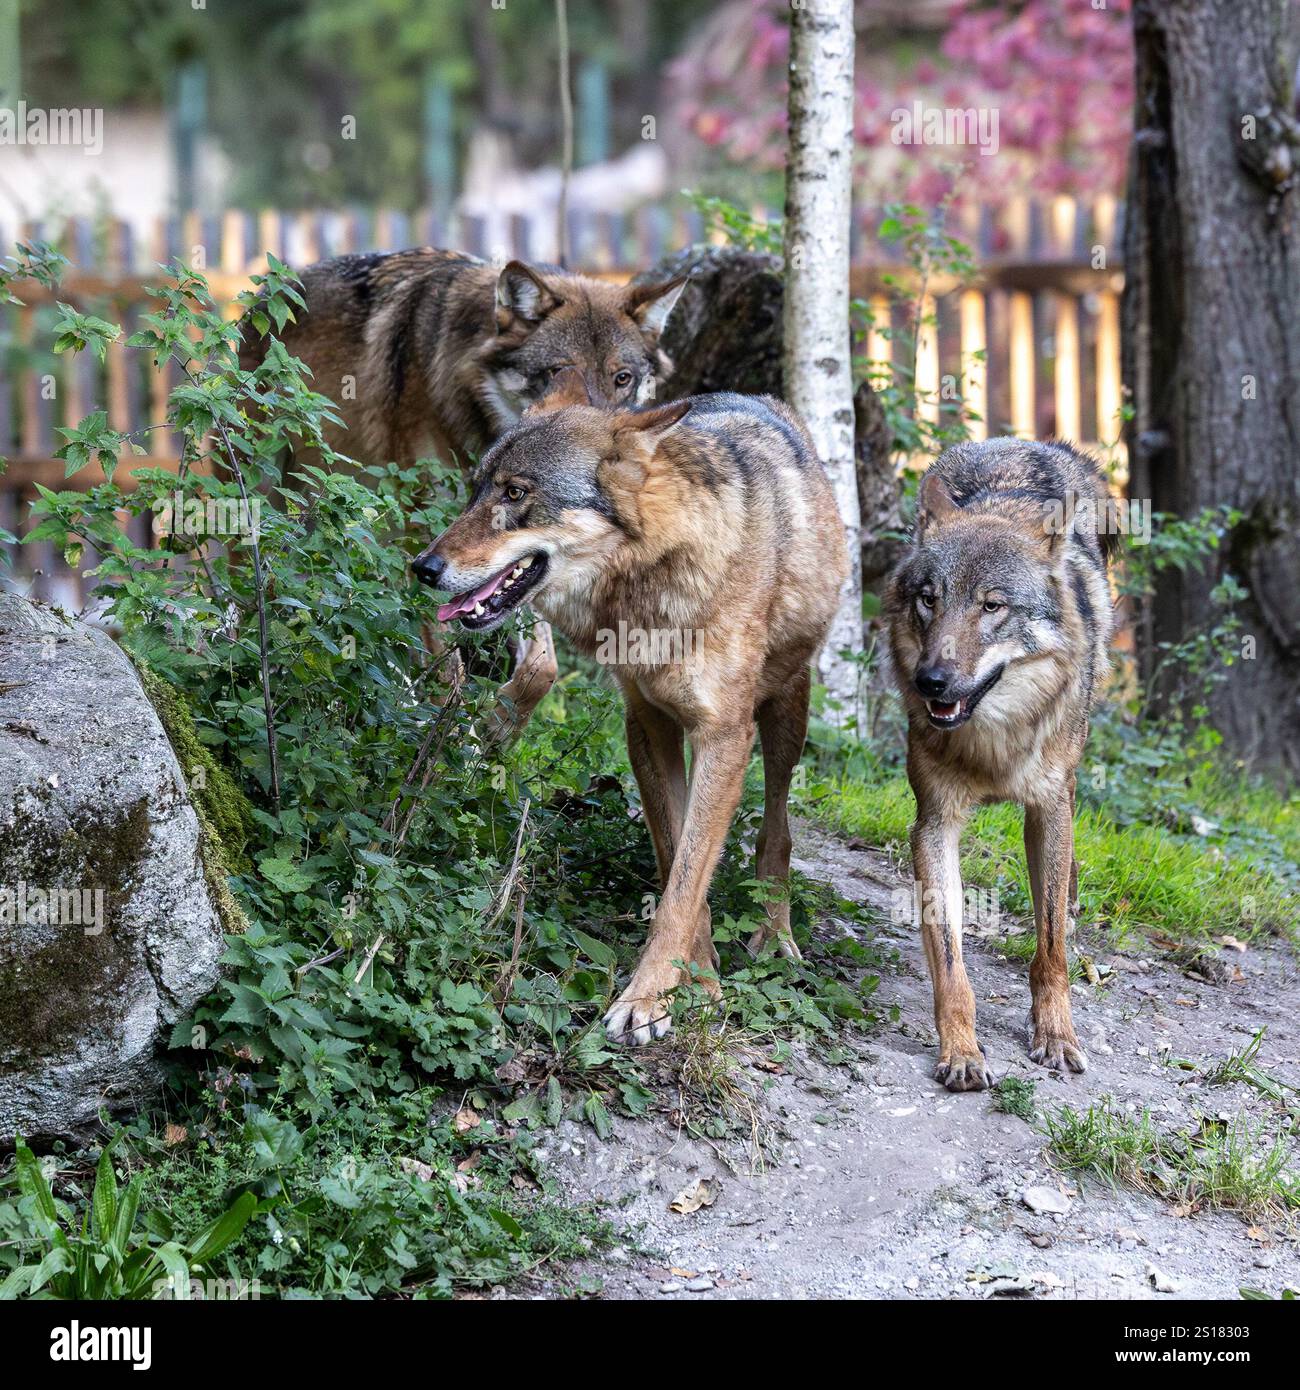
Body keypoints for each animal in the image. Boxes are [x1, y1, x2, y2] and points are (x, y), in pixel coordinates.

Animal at [412, 393, 848, 1043]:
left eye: (515, 493)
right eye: (475, 492)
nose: (423, 567)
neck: (653, 577)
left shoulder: (723, 736)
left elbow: (686, 883)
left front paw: (647, 1000)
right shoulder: (647, 723)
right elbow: (676, 863)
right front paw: (698, 983)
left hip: (784, 719)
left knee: (777, 828)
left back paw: (775, 934)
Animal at [885, 438, 1114, 1092]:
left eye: (992, 606)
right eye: (929, 600)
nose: (931, 681)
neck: (994, 743)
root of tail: (1025, 441)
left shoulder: (1049, 809)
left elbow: (1051, 946)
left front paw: (1056, 1037)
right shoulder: (933, 823)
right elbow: (951, 961)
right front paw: (962, 1052)